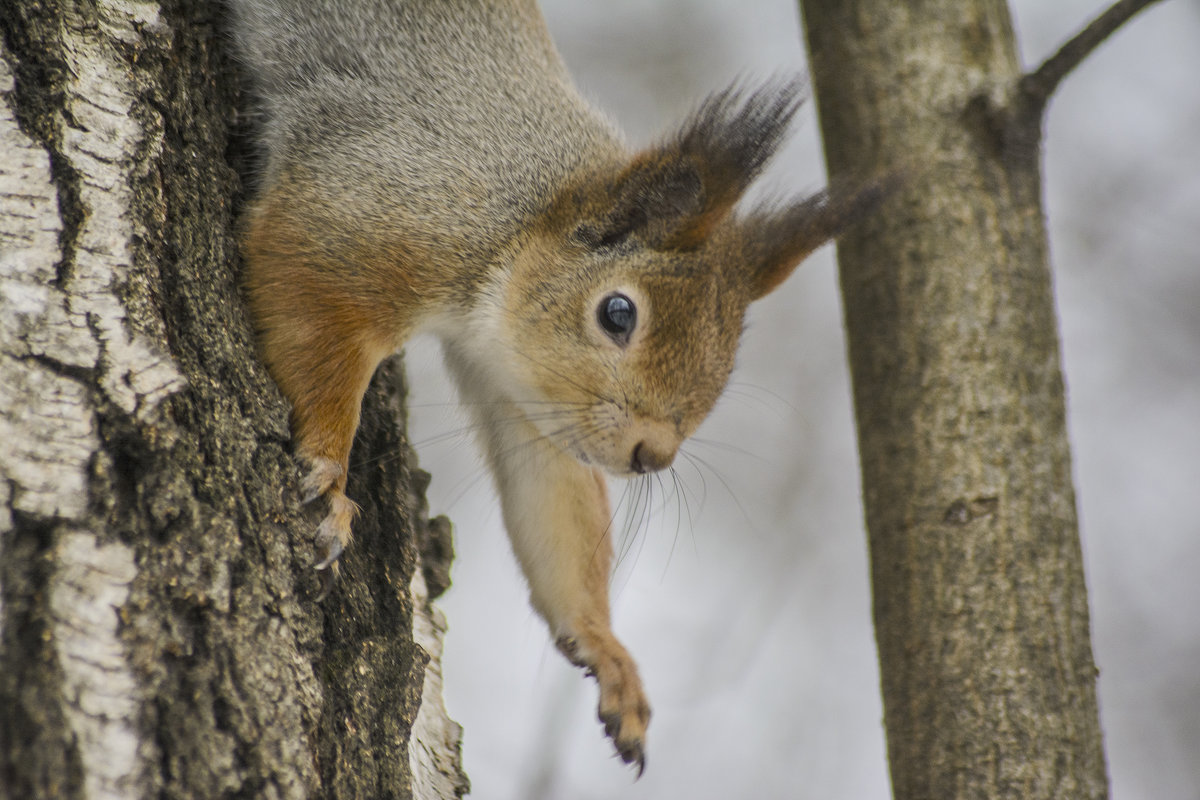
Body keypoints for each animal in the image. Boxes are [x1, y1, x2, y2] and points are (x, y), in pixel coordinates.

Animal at [225, 0, 888, 777]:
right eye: (618, 313)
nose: (652, 455)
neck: (521, 215)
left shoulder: (530, 399)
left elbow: (555, 504)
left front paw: (607, 651)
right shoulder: (365, 212)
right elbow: (308, 306)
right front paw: (329, 477)